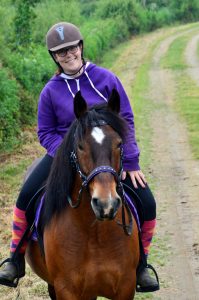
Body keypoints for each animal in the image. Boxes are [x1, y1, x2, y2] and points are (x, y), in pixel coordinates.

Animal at [25, 89, 139, 300]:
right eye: (80, 146)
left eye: (119, 144)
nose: (105, 204)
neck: (94, 234)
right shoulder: (66, 289)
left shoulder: (126, 286)